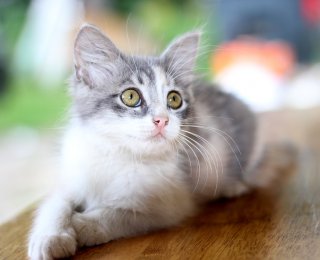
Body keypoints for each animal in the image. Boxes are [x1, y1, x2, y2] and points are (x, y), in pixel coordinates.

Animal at [28, 23, 288, 258]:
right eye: (130, 96)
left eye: (174, 99)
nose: (162, 120)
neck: (118, 153)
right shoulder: (71, 180)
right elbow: (54, 205)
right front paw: (50, 238)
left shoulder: (166, 206)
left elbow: (115, 214)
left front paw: (81, 225)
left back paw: (233, 186)